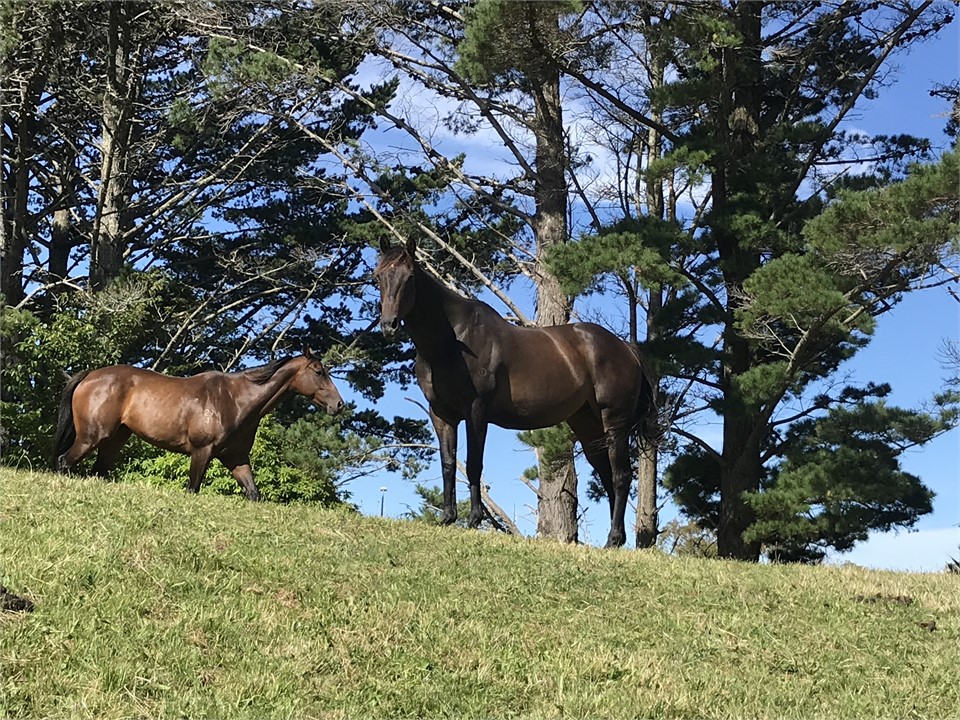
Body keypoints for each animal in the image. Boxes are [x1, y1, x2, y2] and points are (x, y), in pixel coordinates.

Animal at [52, 349, 344, 500]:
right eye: (319, 372)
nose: (339, 405)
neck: (235, 400)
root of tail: (90, 375)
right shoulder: (201, 452)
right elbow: (193, 488)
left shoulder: (236, 458)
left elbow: (253, 492)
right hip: (91, 437)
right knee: (64, 462)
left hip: (114, 440)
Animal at [374, 237, 657, 547]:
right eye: (378, 276)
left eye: (410, 277)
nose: (388, 325)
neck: (453, 341)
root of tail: (625, 348)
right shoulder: (441, 414)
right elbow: (448, 463)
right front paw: (448, 518)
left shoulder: (476, 410)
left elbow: (473, 464)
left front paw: (473, 520)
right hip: (588, 426)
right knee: (607, 476)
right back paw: (616, 541)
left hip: (614, 423)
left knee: (621, 476)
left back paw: (613, 538)